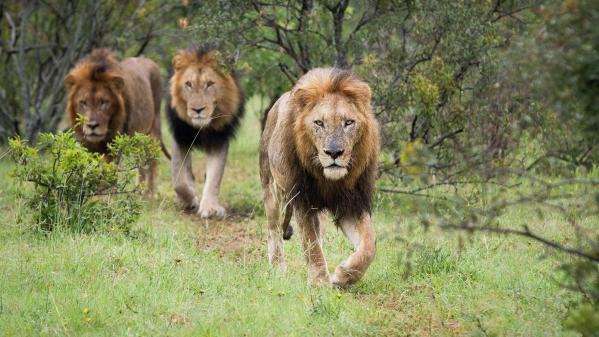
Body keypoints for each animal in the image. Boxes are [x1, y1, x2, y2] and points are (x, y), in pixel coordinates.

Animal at [64, 47, 168, 194]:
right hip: (138, 138)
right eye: (83, 102)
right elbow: (88, 172)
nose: (92, 126)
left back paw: (149, 195)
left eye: (104, 102)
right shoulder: (86, 146)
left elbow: (108, 178)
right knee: (140, 163)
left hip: (153, 129)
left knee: (151, 162)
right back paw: (138, 193)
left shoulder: (114, 147)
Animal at [166, 48, 244, 219]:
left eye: (210, 84)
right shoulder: (180, 136)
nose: (198, 110)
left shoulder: (219, 139)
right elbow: (179, 179)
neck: (202, 127)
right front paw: (190, 200)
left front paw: (211, 208)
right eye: (188, 84)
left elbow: (214, 176)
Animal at [260, 67, 382, 286]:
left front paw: (343, 275)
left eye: (348, 122)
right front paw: (319, 282)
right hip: (272, 189)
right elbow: (311, 244)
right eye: (319, 123)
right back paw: (278, 269)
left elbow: (369, 246)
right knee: (273, 230)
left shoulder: (352, 203)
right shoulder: (303, 200)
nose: (334, 152)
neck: (329, 180)